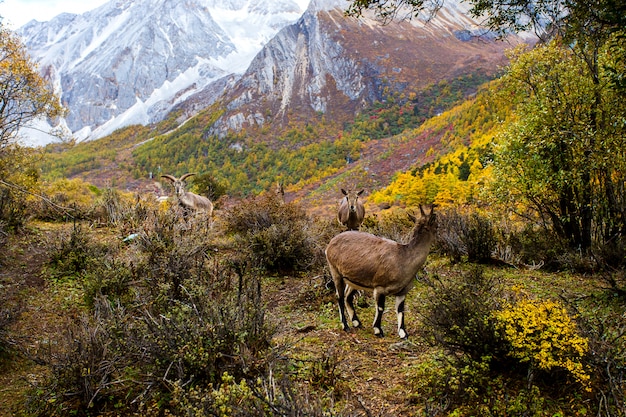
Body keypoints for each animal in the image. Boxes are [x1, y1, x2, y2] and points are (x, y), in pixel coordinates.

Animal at [324, 205, 436, 338]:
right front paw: (378, 330)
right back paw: (345, 326)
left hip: (354, 279)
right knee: (340, 297)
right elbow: (381, 308)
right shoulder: (380, 287)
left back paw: (357, 323)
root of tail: (329, 245)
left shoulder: (402, 291)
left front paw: (403, 333)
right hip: (335, 271)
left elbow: (400, 309)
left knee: (348, 296)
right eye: (435, 223)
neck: (403, 258)